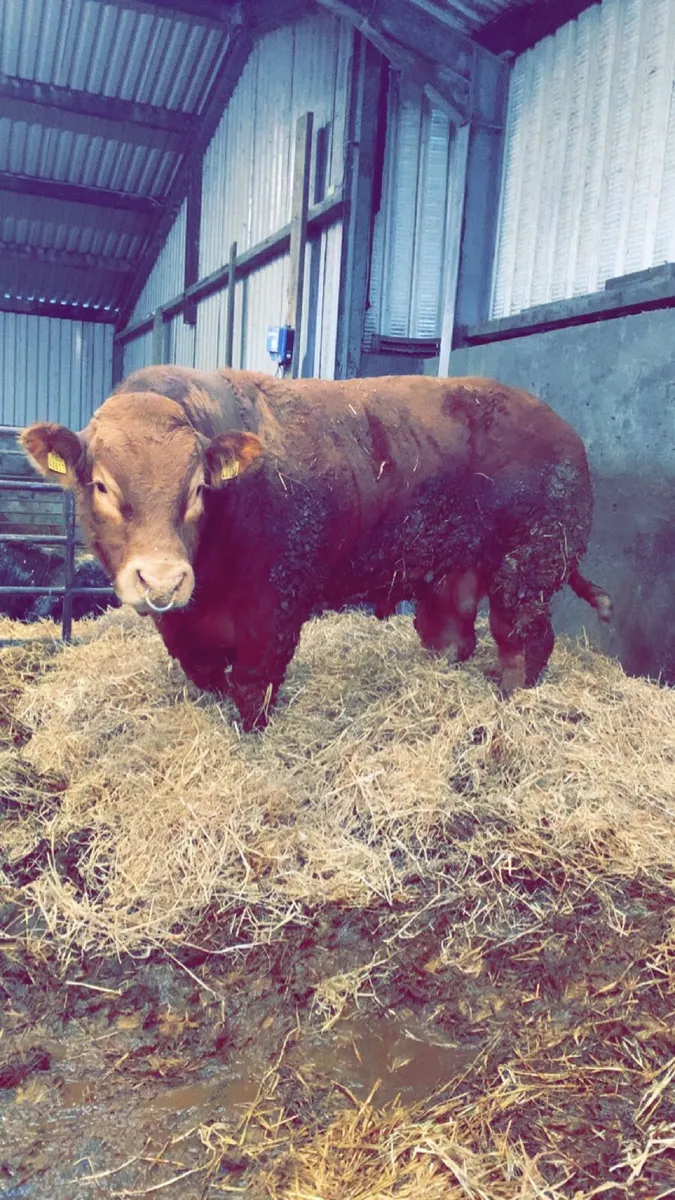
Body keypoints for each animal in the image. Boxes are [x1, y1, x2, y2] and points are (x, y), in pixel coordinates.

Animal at [20, 367, 612, 730]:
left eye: (197, 488)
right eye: (101, 485)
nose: (163, 580)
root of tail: (564, 432)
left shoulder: (274, 609)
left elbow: (252, 686)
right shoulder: (186, 626)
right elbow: (207, 674)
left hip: (530, 567)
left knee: (524, 640)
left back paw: (510, 701)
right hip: (453, 576)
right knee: (452, 638)